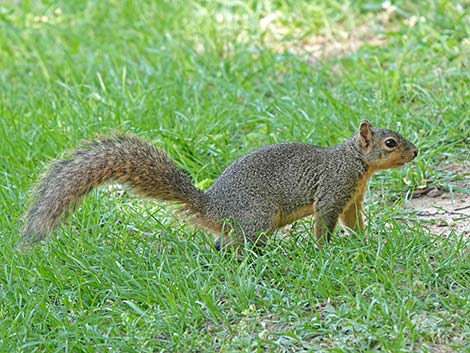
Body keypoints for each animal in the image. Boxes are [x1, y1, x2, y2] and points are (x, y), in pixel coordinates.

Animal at [21, 120, 418, 248]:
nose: (415, 151)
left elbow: (353, 222)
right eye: (390, 143)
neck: (355, 163)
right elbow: (324, 221)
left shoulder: (352, 198)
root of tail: (211, 206)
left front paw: (367, 239)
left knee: (221, 243)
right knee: (239, 246)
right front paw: (324, 249)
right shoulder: (334, 190)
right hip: (259, 216)